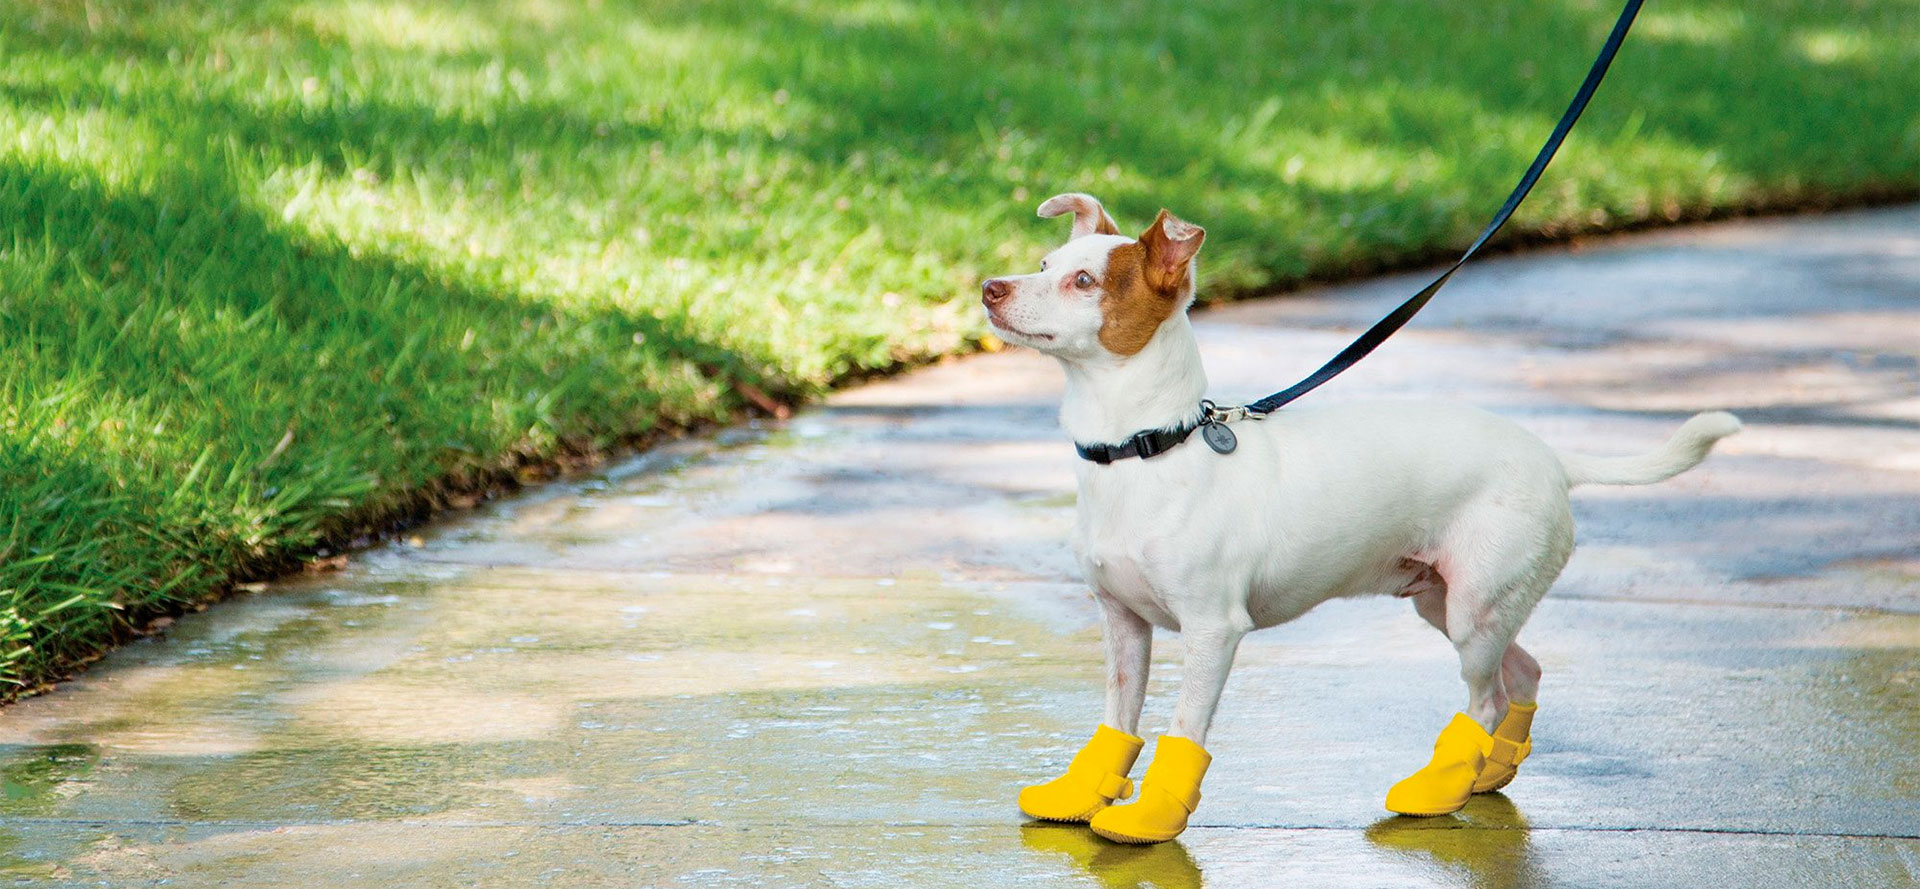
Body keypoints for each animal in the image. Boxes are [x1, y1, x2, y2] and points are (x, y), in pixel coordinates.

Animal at [983, 191, 1751, 844]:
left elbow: (1183, 725)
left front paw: (1152, 819)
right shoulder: (1124, 624)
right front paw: (1081, 795)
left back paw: (1439, 787)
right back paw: (1489, 772)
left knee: (1485, 699)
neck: (1147, 451)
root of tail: (1553, 458)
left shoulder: (1211, 632)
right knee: (1524, 672)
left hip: (1472, 612)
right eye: (1044, 265)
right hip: (1450, 602)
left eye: (1085, 282)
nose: (991, 287)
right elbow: (1118, 719)